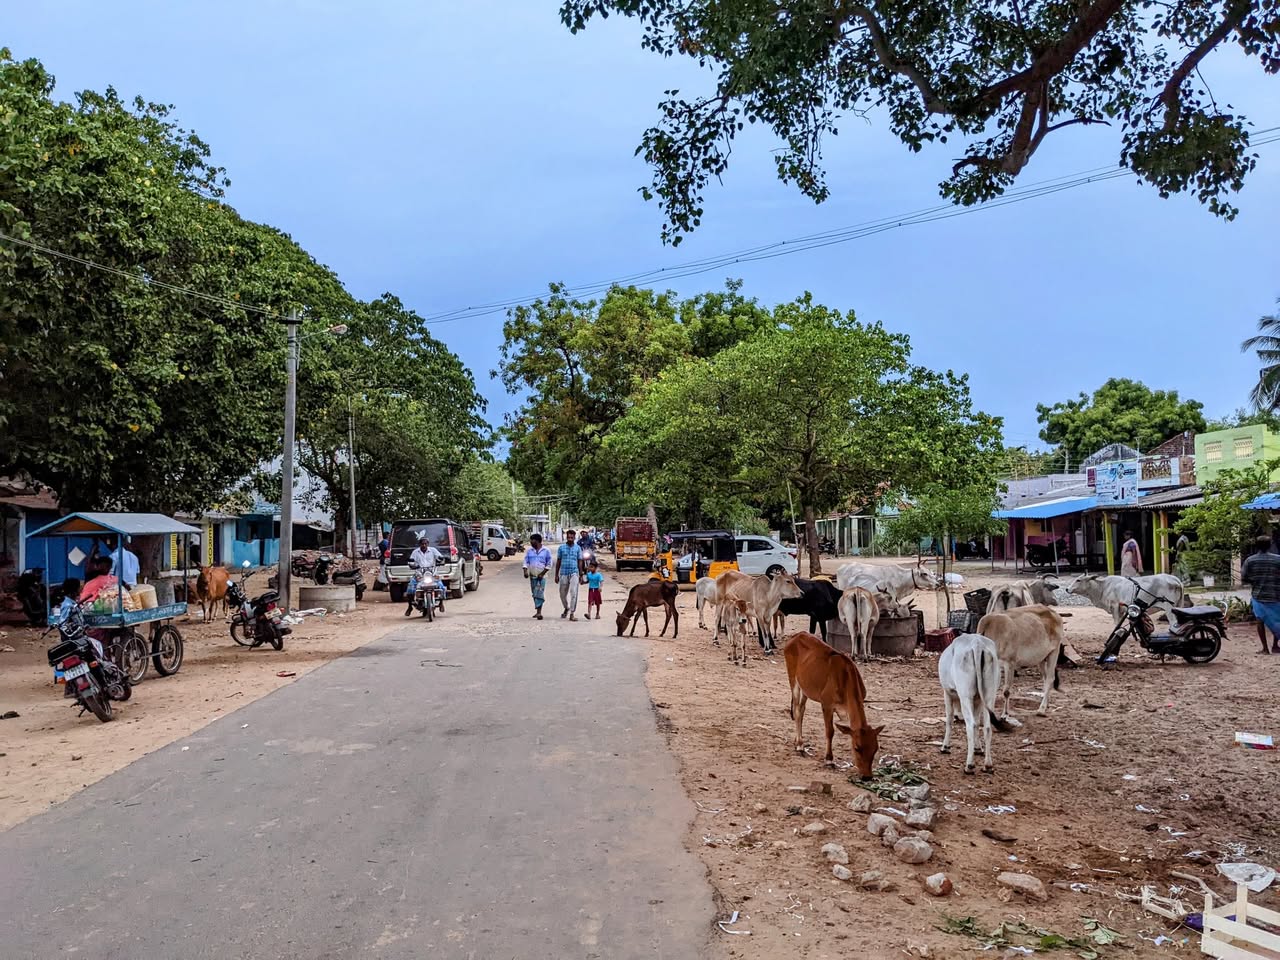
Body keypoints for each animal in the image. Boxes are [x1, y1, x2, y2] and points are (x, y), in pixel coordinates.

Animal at [783, 631, 883, 777]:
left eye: (875, 749)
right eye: (857, 748)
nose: (867, 777)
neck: (845, 680)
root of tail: (797, 635)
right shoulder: (827, 704)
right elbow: (830, 731)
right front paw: (829, 760)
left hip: (806, 687)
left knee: (801, 710)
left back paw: (798, 742)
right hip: (793, 679)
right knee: (796, 710)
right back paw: (800, 745)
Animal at [938, 633, 1010, 774]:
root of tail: (977, 644)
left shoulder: (947, 693)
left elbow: (949, 719)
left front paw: (945, 746)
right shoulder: (978, 700)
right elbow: (977, 723)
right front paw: (978, 748)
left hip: (965, 696)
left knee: (970, 725)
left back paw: (969, 765)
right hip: (989, 696)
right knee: (987, 727)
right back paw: (988, 765)